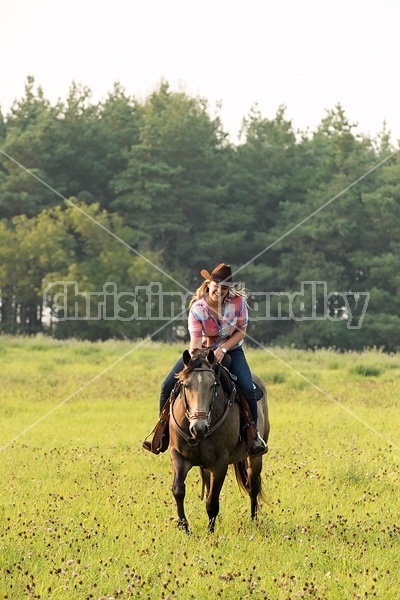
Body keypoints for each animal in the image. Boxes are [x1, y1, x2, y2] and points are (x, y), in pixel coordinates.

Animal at [167, 350, 270, 532]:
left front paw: (210, 531)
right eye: (185, 385)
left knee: (253, 486)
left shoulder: (220, 463)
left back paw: (253, 519)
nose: (198, 428)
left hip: (255, 458)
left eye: (213, 385)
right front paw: (184, 526)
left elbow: (212, 501)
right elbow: (178, 489)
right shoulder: (178, 455)